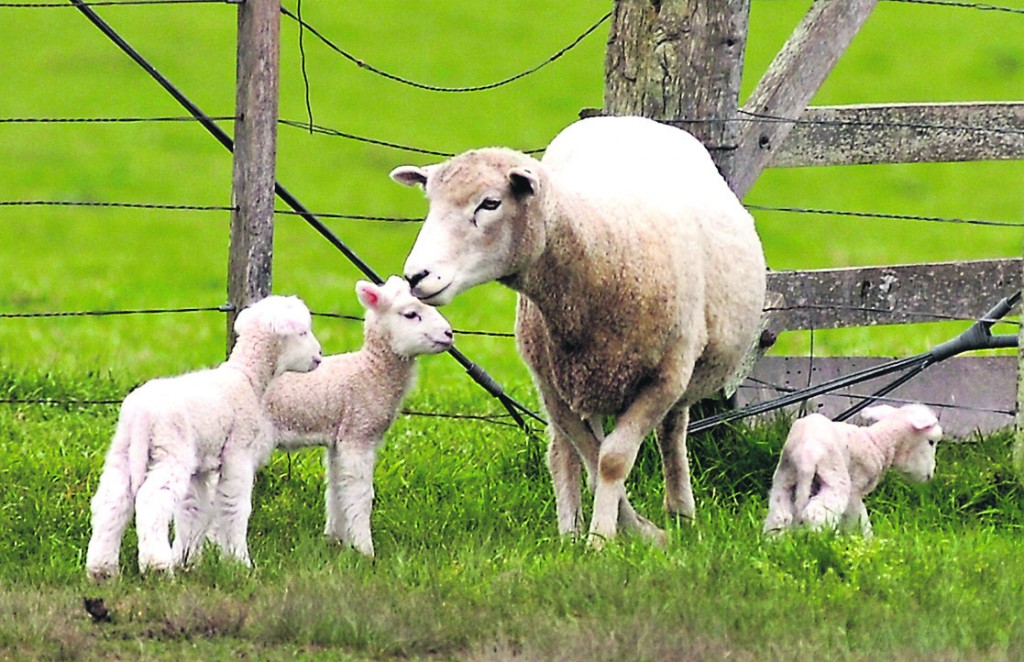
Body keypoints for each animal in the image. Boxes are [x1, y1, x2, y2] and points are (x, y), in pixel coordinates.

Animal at [86, 295, 321, 582]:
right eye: (302, 332)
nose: (319, 356)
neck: (247, 378)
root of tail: (141, 415)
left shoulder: (200, 468)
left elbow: (194, 510)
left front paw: (187, 560)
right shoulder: (238, 453)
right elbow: (234, 506)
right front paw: (239, 562)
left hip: (122, 450)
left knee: (112, 501)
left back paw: (101, 570)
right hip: (170, 451)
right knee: (151, 501)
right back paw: (157, 568)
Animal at [260, 276, 452, 557]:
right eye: (410, 314)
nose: (449, 334)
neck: (369, 372)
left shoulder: (338, 438)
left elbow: (337, 488)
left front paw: (336, 539)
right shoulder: (358, 432)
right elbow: (360, 494)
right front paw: (365, 550)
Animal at [391, 115, 770, 549]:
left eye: (490, 203)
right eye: (431, 203)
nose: (415, 276)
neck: (601, 251)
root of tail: (626, 119)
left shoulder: (664, 379)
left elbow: (612, 459)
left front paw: (605, 539)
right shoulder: (553, 386)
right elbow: (591, 458)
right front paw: (629, 531)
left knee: (672, 433)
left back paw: (680, 512)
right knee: (562, 452)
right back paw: (570, 529)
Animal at [761, 403, 942, 541]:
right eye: (931, 442)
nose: (930, 475)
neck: (878, 442)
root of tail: (806, 454)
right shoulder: (855, 489)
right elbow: (859, 518)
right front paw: (865, 541)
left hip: (785, 478)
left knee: (780, 516)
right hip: (835, 479)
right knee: (816, 514)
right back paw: (822, 543)